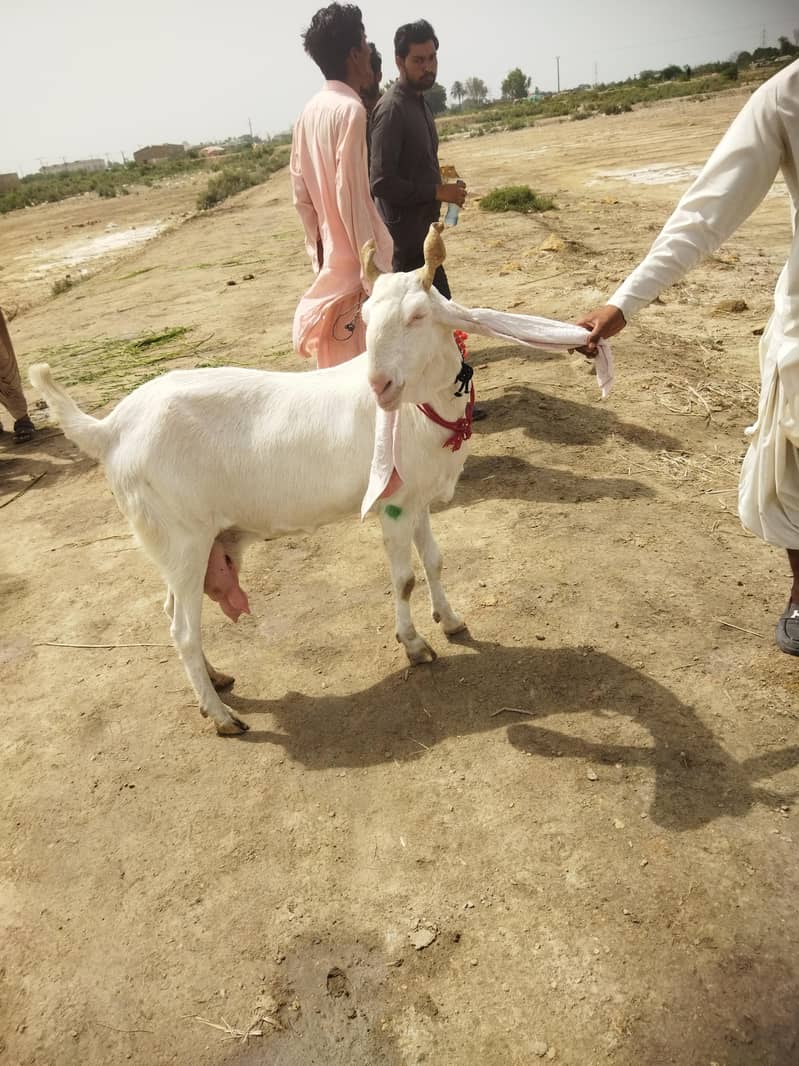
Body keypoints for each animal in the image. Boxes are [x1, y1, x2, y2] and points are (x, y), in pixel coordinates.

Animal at [30, 223, 610, 735]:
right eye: (366, 316)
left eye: (419, 315)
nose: (379, 385)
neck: (421, 411)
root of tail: (111, 429)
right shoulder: (394, 503)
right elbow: (403, 577)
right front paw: (416, 646)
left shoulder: (418, 497)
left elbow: (435, 559)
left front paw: (450, 620)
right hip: (182, 536)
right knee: (182, 629)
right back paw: (222, 716)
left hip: (180, 546)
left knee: (174, 610)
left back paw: (215, 682)